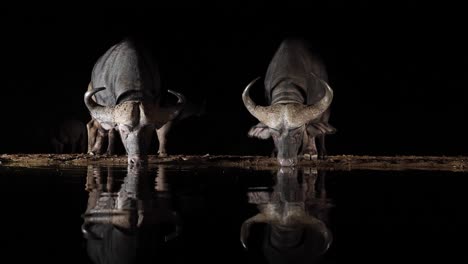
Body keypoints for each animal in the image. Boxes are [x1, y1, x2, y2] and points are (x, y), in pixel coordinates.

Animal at [243, 38, 334, 167]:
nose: (286, 161)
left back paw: (321, 152)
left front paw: (310, 152)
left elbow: (310, 130)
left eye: (298, 133)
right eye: (274, 135)